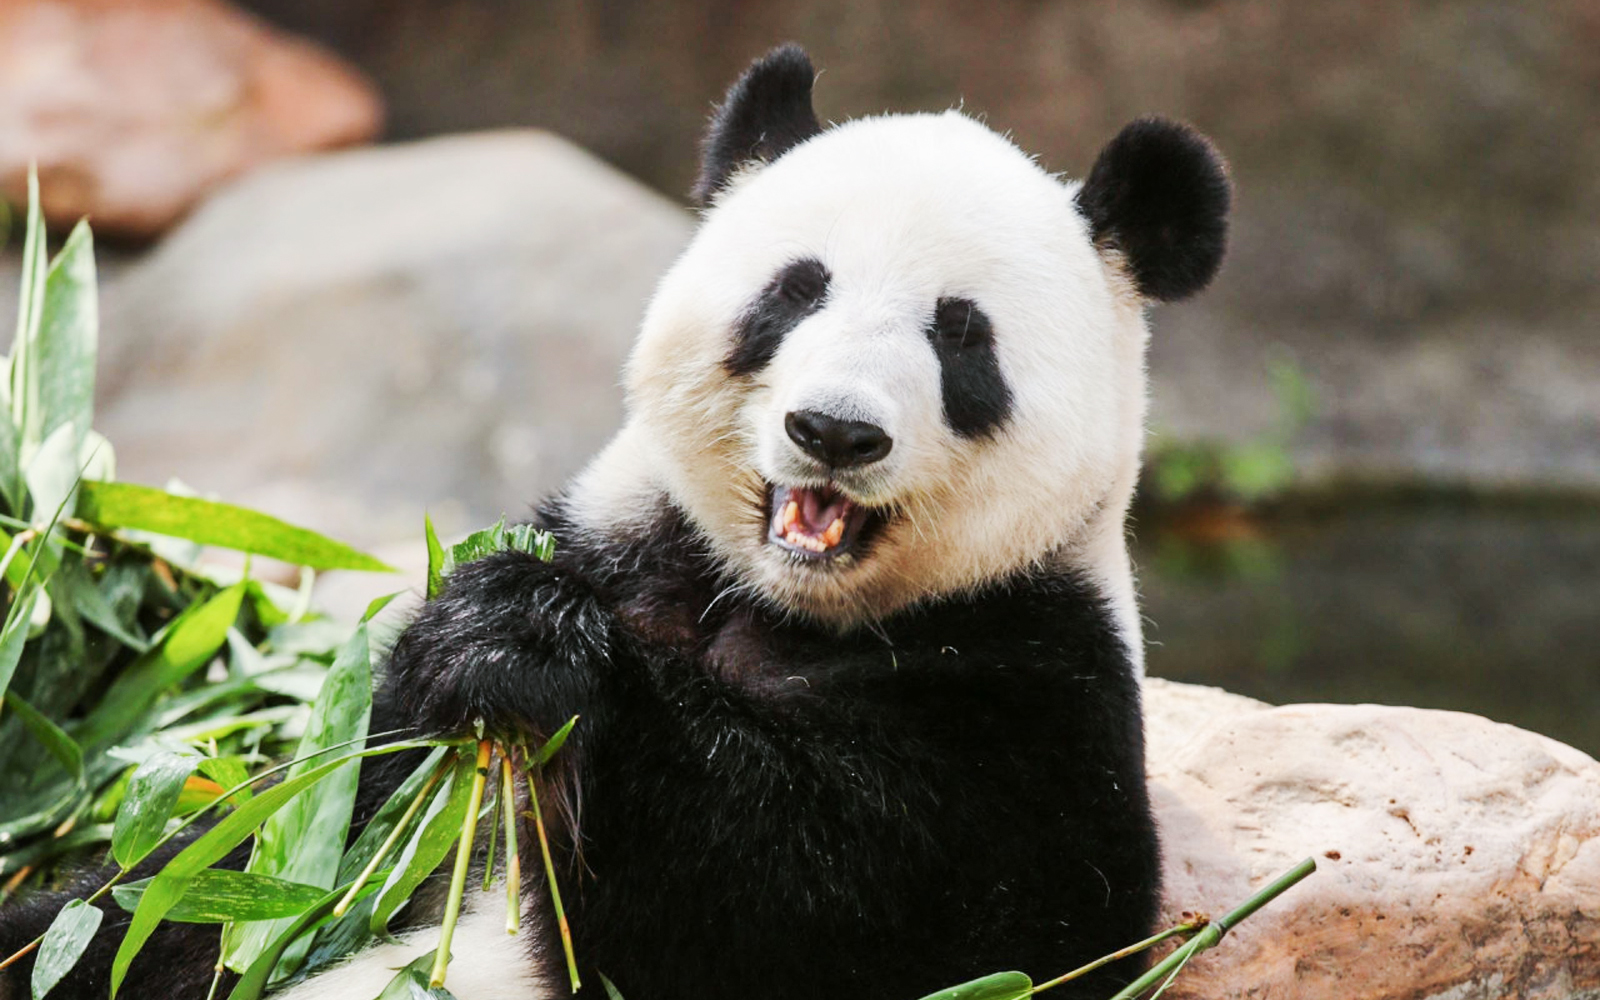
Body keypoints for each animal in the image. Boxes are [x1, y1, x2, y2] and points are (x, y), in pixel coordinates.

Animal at [0, 43, 1228, 1000]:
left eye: (961, 335)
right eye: (796, 291)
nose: (835, 431)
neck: (778, 605)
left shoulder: (1030, 692)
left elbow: (857, 916)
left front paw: (542, 658)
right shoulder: (614, 549)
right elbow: (236, 867)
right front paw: (488, 637)